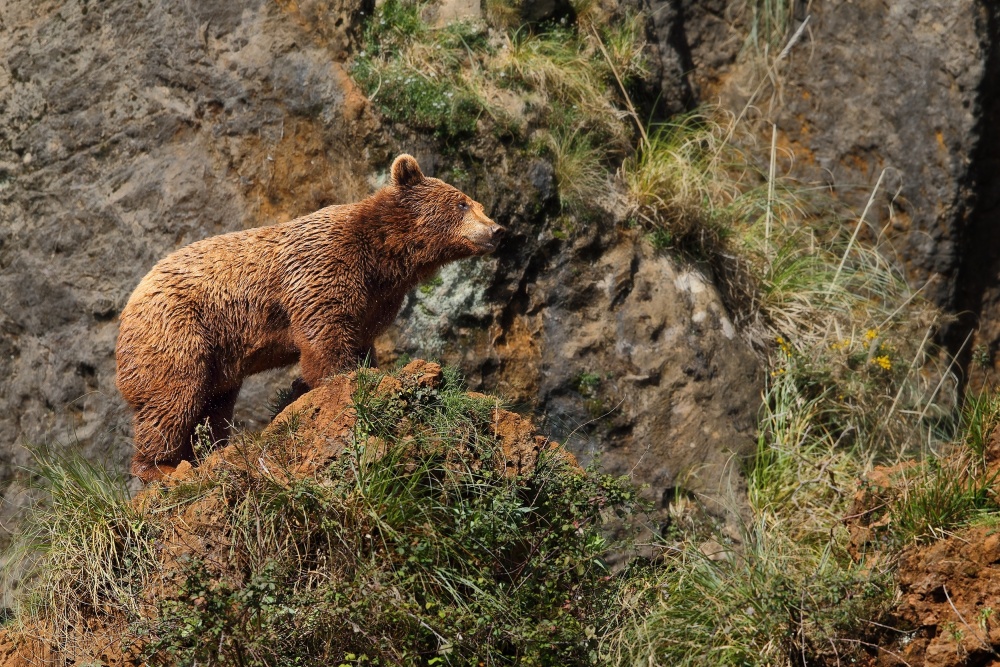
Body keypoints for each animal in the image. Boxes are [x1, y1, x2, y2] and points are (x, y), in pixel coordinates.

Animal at [116, 154, 504, 482]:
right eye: (461, 202)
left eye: (480, 205)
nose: (497, 230)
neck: (382, 256)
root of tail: (129, 305)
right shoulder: (323, 267)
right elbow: (325, 332)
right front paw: (338, 378)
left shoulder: (375, 299)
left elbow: (359, 337)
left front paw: (362, 369)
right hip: (179, 329)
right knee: (175, 394)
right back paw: (161, 466)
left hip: (217, 354)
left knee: (214, 404)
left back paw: (207, 452)